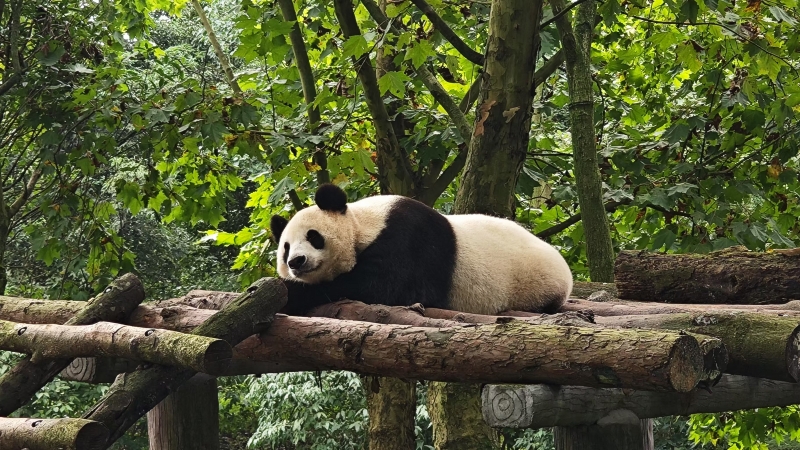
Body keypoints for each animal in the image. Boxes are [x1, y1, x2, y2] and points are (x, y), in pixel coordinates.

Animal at [272, 185, 572, 314]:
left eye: (314, 237)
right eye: (285, 248)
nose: (296, 261)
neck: (363, 224)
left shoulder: (407, 238)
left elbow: (381, 287)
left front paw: (292, 293)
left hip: (534, 282)